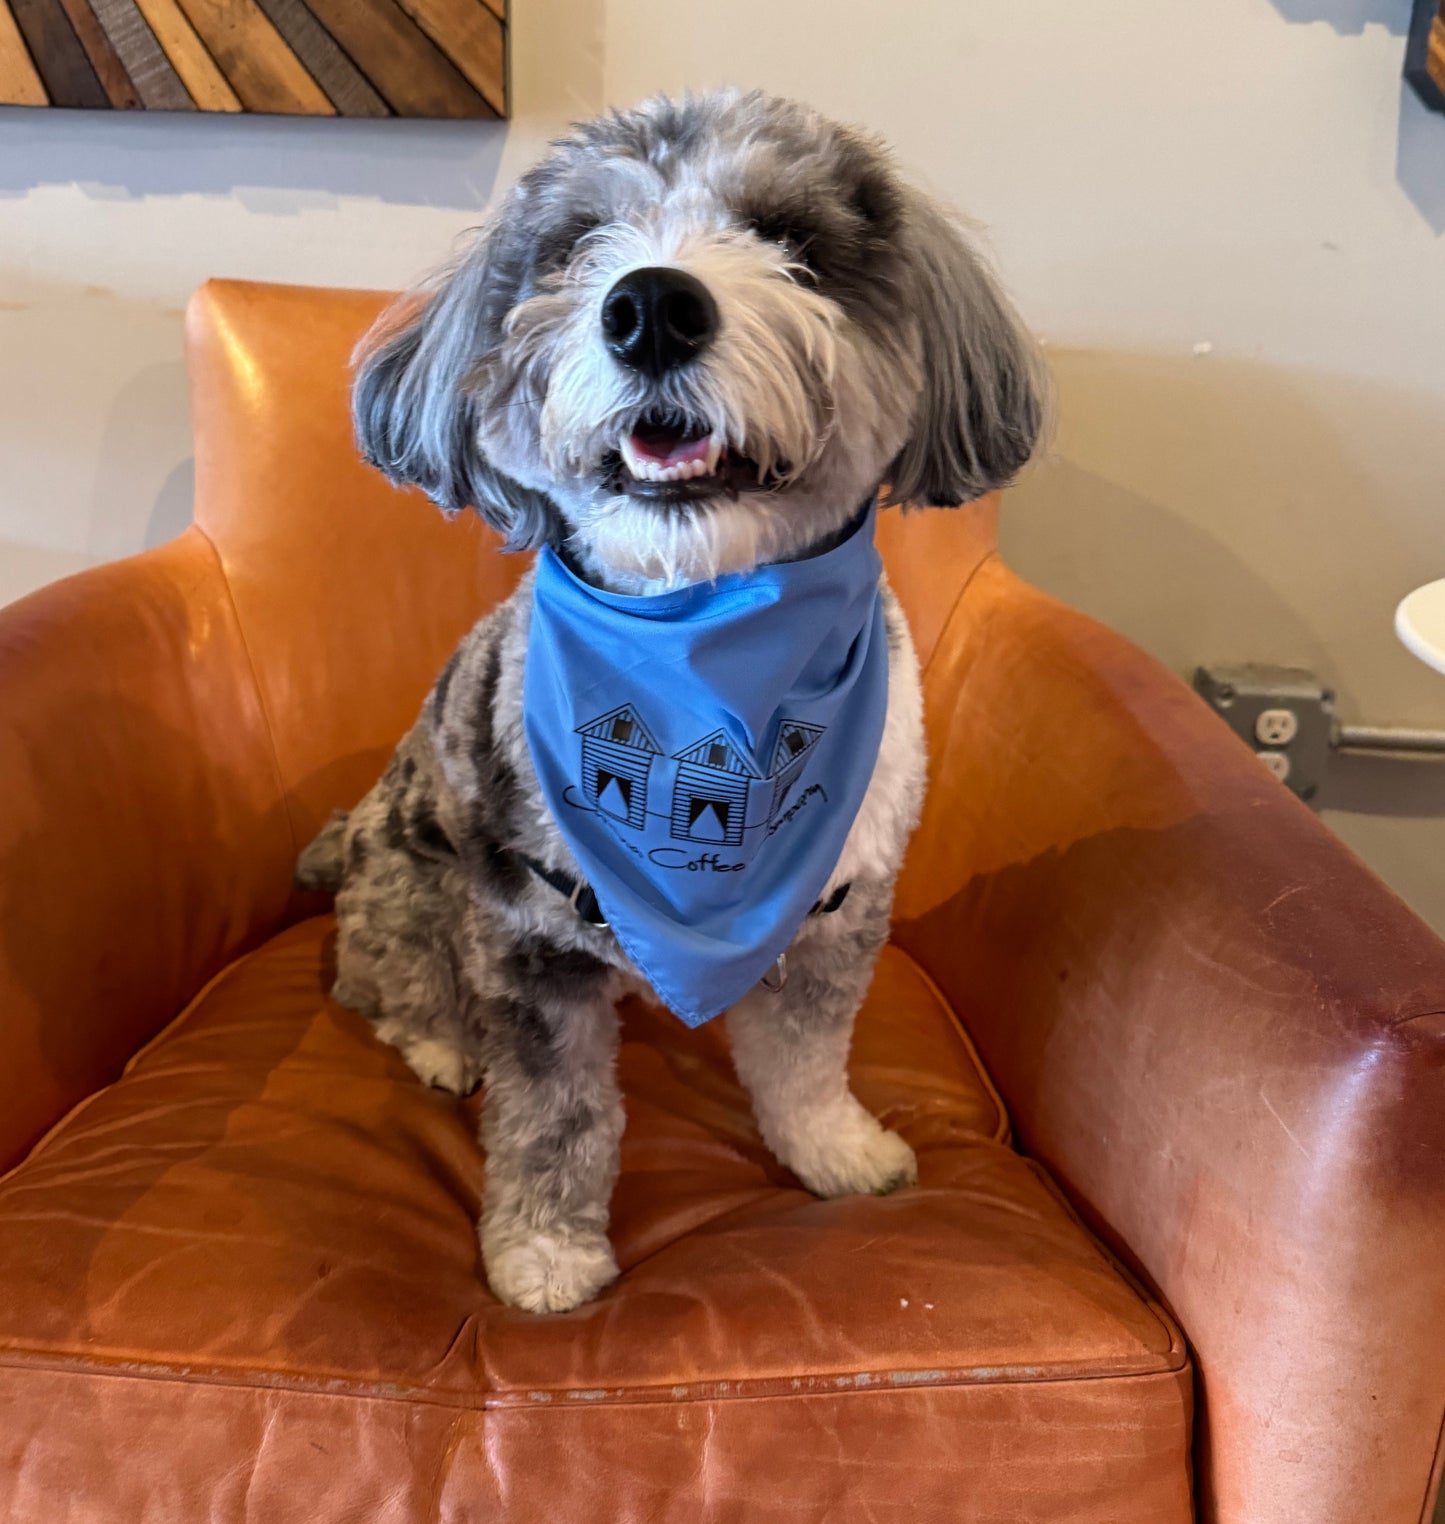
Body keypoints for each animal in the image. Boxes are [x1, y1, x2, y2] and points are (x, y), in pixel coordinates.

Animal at [295, 89, 1036, 1316]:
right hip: (407, 887)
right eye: (576, 242)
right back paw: (445, 1045)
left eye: (791, 239)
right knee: (388, 982)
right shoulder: (530, 945)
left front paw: (834, 1151)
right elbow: (555, 1117)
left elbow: (803, 1060)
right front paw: (545, 1255)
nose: (649, 307)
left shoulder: (840, 916)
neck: (700, 642)